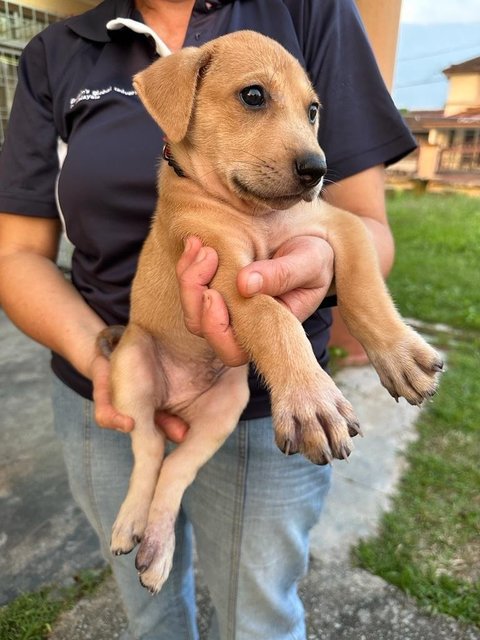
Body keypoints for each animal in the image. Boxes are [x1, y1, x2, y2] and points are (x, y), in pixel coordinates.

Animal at [99, 28, 444, 592]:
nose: (317, 170)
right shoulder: (228, 278)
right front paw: (312, 401)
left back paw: (156, 546)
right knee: (148, 451)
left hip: (224, 410)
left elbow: (364, 288)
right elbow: (274, 318)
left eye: (313, 110)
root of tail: (178, 403)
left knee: (176, 470)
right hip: (133, 367)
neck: (256, 214)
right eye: (254, 95)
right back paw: (132, 523)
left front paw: (400, 355)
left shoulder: (337, 226)